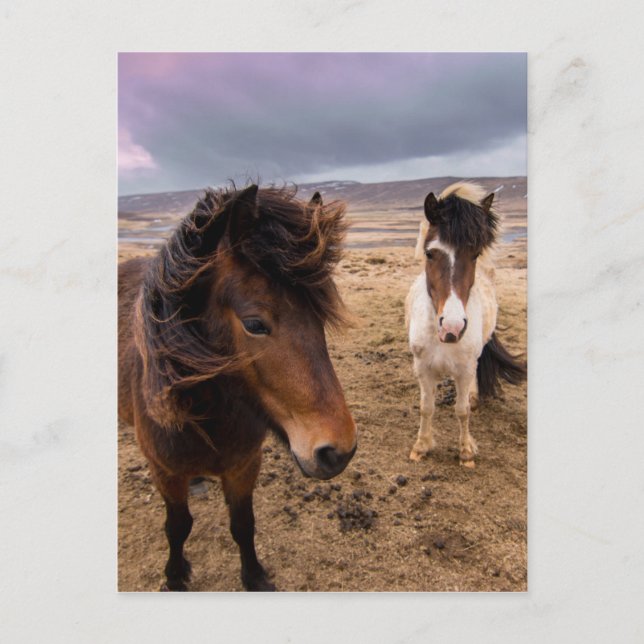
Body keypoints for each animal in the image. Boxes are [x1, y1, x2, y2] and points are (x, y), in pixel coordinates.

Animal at [118, 184, 357, 591]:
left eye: (319, 316)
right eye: (254, 324)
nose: (338, 451)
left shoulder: (244, 465)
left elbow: (243, 525)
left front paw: (255, 576)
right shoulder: (165, 473)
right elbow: (177, 528)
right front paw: (175, 575)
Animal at [405, 182, 526, 467]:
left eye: (475, 255)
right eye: (429, 253)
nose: (452, 327)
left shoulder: (464, 370)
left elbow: (462, 411)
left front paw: (466, 452)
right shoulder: (423, 369)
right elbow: (426, 407)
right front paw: (421, 447)